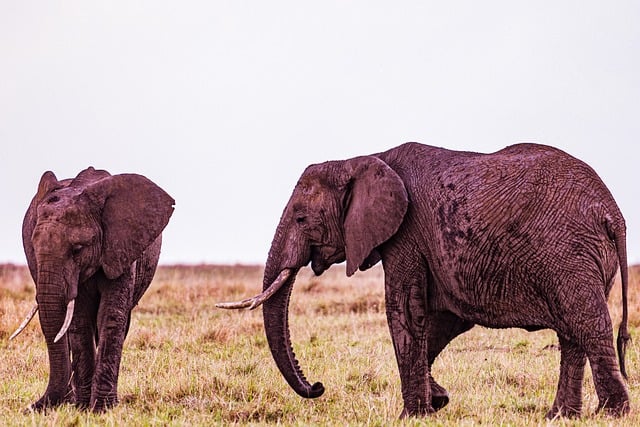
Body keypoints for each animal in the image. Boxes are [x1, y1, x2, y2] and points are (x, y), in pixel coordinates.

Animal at [10, 166, 175, 412]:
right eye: (33, 247)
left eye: (78, 249)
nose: (30, 408)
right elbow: (78, 321)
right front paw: (83, 407)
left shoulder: (120, 249)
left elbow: (110, 316)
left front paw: (102, 409)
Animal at [219, 143, 632, 418]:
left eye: (302, 219)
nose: (317, 387)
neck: (363, 158)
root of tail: (613, 213)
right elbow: (442, 321)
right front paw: (438, 401)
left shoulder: (407, 234)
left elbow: (405, 313)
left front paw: (413, 415)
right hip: (581, 258)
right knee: (572, 331)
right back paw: (560, 417)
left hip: (570, 253)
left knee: (588, 322)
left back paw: (612, 414)